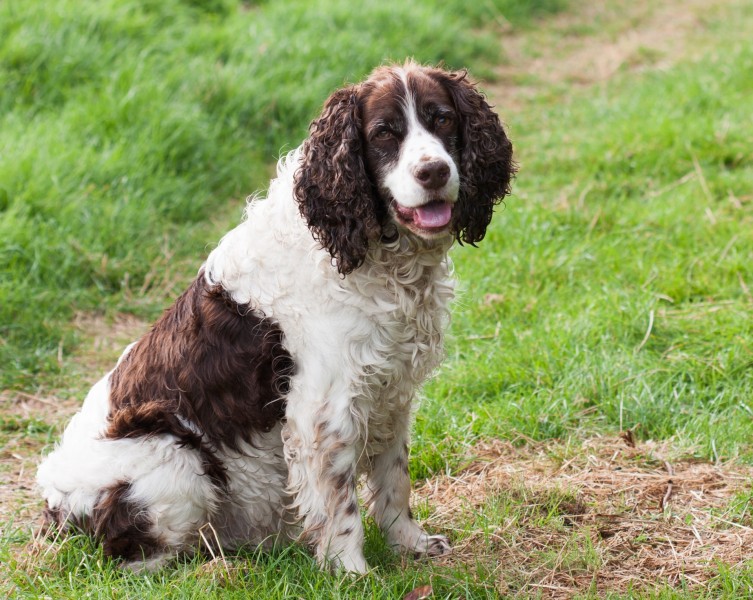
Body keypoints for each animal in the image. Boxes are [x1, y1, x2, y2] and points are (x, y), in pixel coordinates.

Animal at [38, 61, 516, 572]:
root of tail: (53, 505)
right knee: (135, 561)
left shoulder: (391, 390)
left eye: (442, 118)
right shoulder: (325, 406)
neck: (371, 257)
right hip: (174, 455)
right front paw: (352, 570)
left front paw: (410, 544)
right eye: (384, 133)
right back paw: (216, 568)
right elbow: (340, 502)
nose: (434, 171)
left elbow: (394, 479)